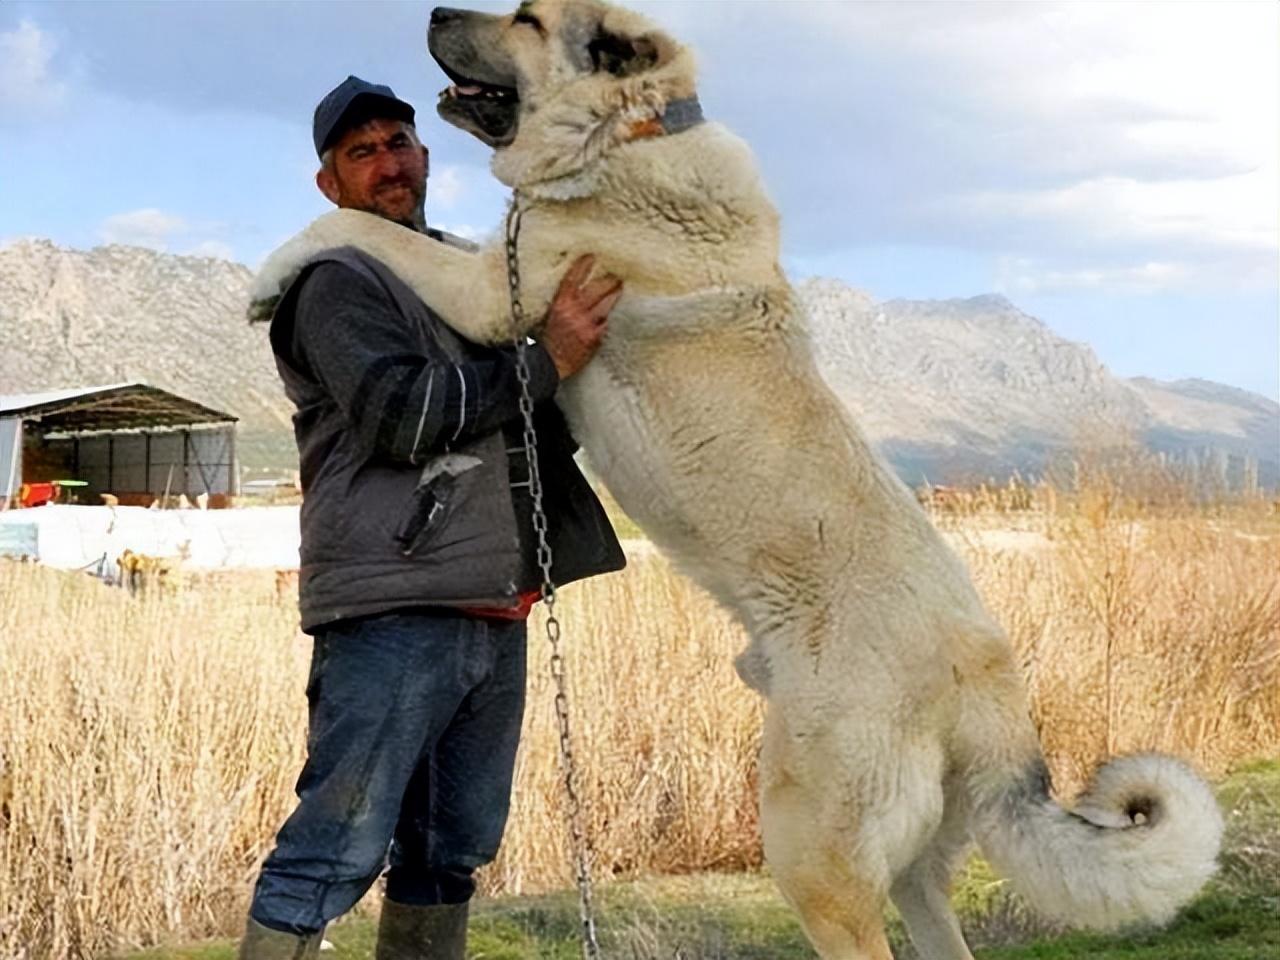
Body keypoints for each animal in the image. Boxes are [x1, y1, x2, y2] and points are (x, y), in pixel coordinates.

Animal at [249, 3, 1218, 957]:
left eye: (527, 19)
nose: (435, 11)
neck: (629, 133)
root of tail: (984, 679)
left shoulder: (495, 290)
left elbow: (362, 231)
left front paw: (270, 277)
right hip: (911, 863)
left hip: (810, 847)